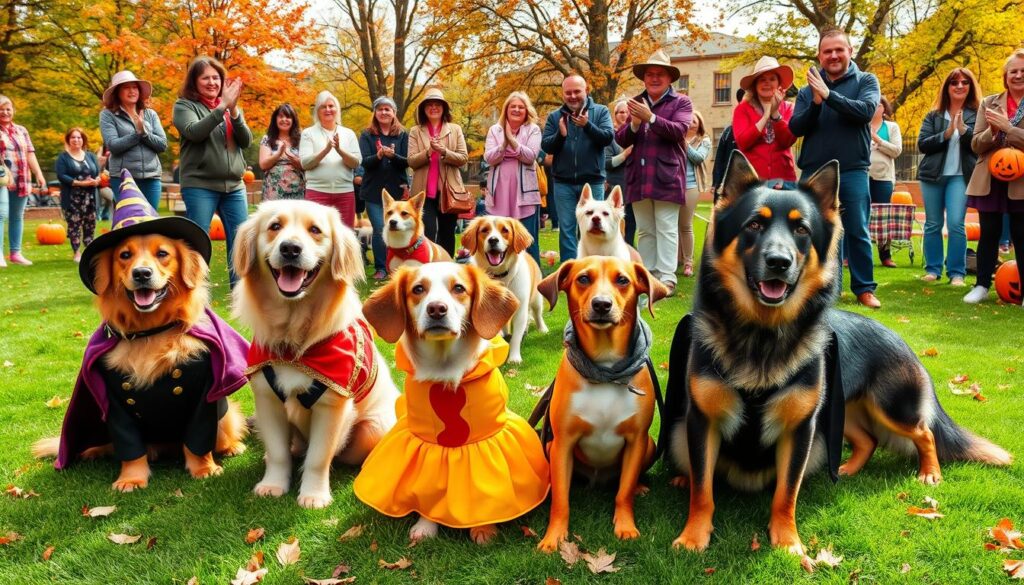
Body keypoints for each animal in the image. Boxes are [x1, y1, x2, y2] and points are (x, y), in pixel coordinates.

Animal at [33, 232, 248, 489]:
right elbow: (129, 446)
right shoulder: (114, 403)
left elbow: (198, 442)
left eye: (163, 253)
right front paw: (131, 478)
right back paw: (92, 451)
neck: (150, 334)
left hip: (225, 418)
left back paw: (233, 446)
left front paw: (204, 468)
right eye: (125, 255)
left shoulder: (203, 396)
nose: (142, 273)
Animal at [233, 200, 399, 508]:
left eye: (315, 230)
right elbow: (278, 453)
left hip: (372, 428)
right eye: (275, 226)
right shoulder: (266, 399)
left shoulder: (332, 405)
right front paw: (273, 484)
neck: (294, 344)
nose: (290, 248)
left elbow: (318, 458)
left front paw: (313, 495)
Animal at [462, 218, 548, 366]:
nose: (493, 240)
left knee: (537, 314)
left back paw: (542, 328)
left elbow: (516, 336)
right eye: (484, 230)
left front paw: (514, 357)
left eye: (505, 230)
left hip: (536, 299)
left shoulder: (521, 309)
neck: (500, 276)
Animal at [532, 257, 667, 553]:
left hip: (650, 444)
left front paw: (625, 525)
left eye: (623, 280)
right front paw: (554, 536)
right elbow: (561, 501)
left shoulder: (637, 440)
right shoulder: (562, 443)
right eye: (583, 279)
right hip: (549, 445)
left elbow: (623, 492)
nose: (602, 304)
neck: (605, 367)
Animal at [659, 153, 1011, 557]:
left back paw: (929, 472)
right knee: (868, 440)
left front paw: (788, 542)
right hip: (839, 414)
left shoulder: (801, 429)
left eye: (802, 230)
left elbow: (786, 493)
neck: (762, 335)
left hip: (890, 408)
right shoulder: (702, 423)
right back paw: (844, 471)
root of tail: (900, 339)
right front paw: (694, 535)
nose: (779, 262)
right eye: (754, 224)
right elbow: (703, 488)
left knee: (924, 432)